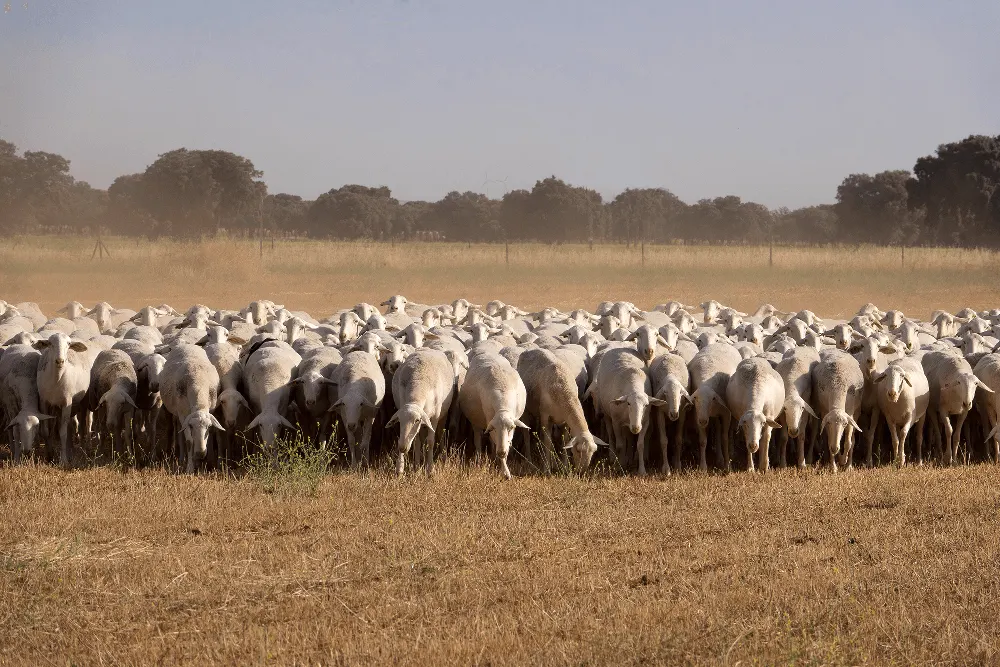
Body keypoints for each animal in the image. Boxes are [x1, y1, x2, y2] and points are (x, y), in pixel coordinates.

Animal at [34, 332, 98, 467]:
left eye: (68, 344)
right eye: (50, 343)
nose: (60, 361)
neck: (56, 380)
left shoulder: (67, 403)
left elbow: (62, 432)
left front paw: (63, 460)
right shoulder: (44, 402)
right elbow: (46, 430)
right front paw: (49, 455)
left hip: (86, 400)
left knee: (87, 422)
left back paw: (86, 447)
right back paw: (71, 449)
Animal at [458, 349, 528, 479]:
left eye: (511, 427)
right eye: (494, 428)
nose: (501, 452)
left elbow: (506, 444)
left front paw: (503, 466)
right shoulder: (490, 423)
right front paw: (505, 472)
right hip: (477, 420)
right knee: (478, 437)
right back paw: (479, 458)